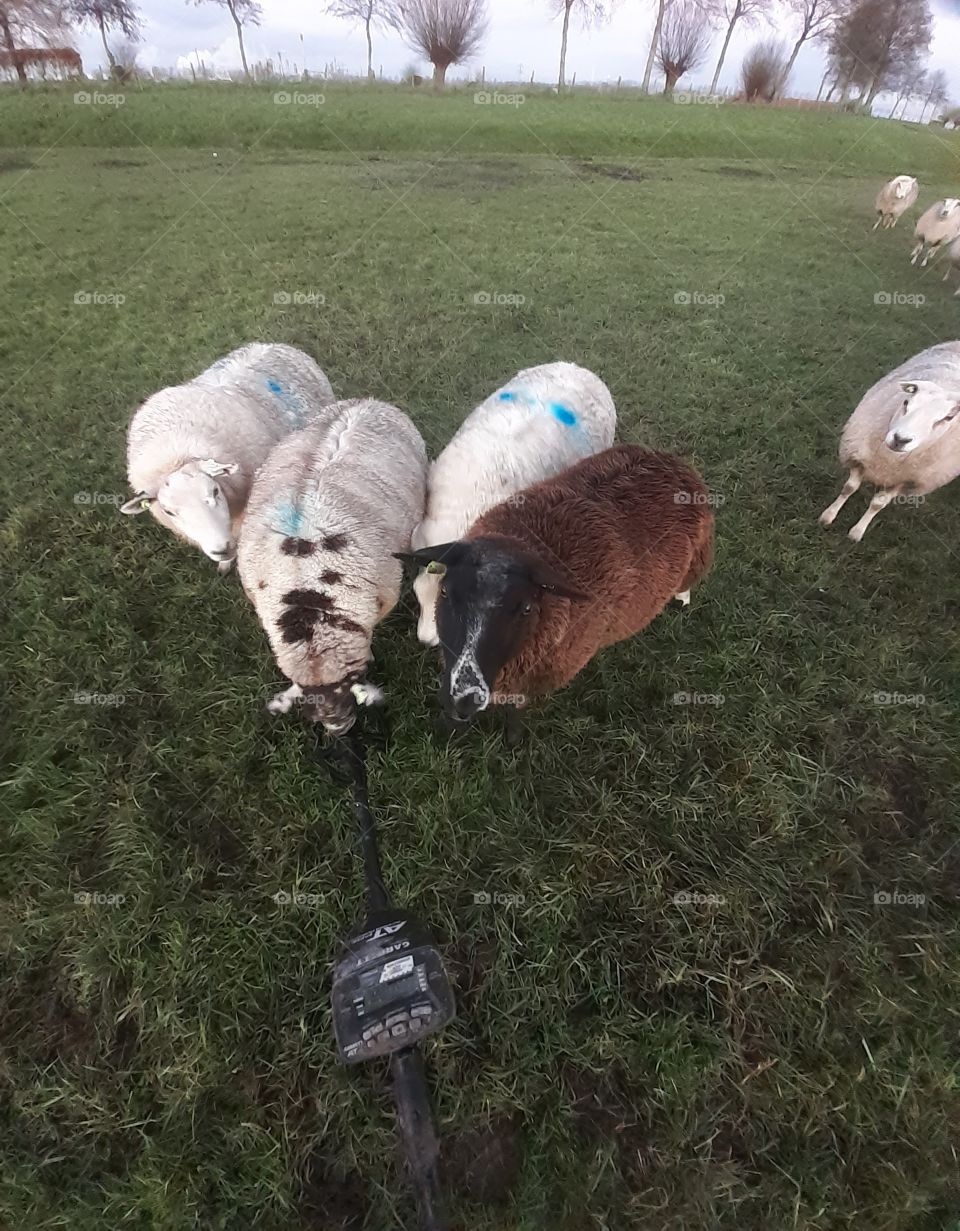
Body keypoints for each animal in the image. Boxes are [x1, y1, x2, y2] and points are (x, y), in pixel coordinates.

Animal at [121, 343, 335, 572]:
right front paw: (224, 564)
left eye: (215, 491)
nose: (221, 549)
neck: (176, 449)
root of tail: (271, 344)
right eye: (168, 512)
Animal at [399, 444, 713, 727]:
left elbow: (516, 711)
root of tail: (670, 461)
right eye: (445, 592)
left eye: (526, 607)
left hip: (698, 556)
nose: (464, 699)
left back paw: (682, 598)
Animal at [819, 341, 960, 542]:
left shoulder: (906, 480)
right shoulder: (859, 456)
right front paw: (828, 516)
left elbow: (878, 504)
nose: (900, 439)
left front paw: (857, 532)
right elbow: (849, 487)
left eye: (948, 418)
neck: (889, 461)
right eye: (906, 402)